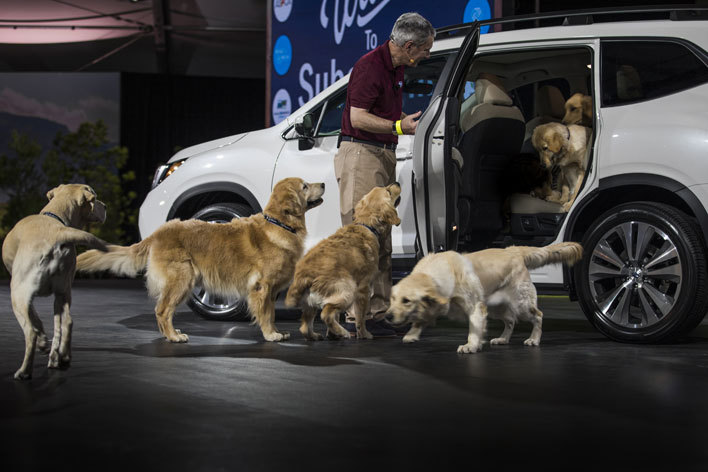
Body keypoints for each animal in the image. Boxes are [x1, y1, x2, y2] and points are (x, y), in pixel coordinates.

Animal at [1, 184, 106, 380]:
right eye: (95, 199)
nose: (105, 206)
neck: (55, 216)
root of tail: (57, 234)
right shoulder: (59, 294)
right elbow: (55, 325)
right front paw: (54, 353)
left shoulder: (24, 293)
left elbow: (35, 318)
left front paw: (43, 342)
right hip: (63, 293)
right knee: (67, 322)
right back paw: (63, 356)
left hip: (17, 294)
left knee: (30, 332)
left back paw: (24, 371)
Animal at [74, 177, 324, 342]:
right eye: (304, 186)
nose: (323, 184)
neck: (280, 224)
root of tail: (159, 232)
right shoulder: (262, 287)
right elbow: (265, 313)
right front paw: (271, 335)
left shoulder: (271, 291)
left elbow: (271, 313)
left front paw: (276, 331)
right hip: (181, 279)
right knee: (162, 310)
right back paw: (174, 337)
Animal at [284, 183, 402, 342]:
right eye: (388, 191)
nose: (397, 183)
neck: (366, 225)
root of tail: (303, 276)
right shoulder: (363, 289)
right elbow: (361, 317)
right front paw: (364, 334)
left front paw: (332, 333)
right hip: (348, 289)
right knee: (326, 313)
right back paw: (342, 332)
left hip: (311, 303)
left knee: (305, 327)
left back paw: (319, 335)